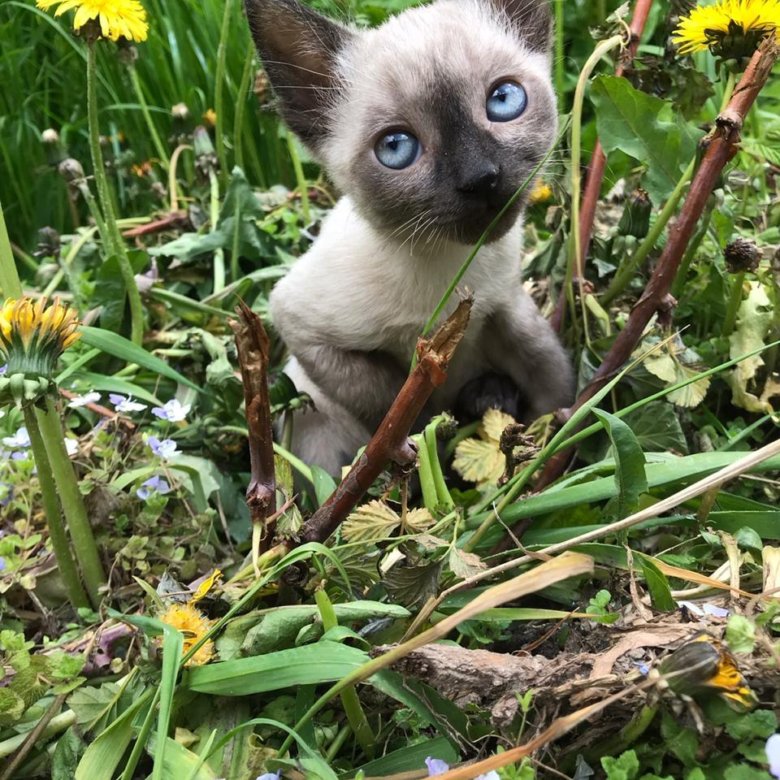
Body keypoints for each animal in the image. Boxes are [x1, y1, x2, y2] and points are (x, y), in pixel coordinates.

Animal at [244, 0, 572, 476]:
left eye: (504, 100)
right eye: (396, 148)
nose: (481, 178)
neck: (454, 269)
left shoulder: (504, 304)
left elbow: (549, 373)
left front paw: (552, 443)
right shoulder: (303, 328)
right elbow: (391, 407)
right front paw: (421, 454)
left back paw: (488, 396)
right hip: (311, 417)